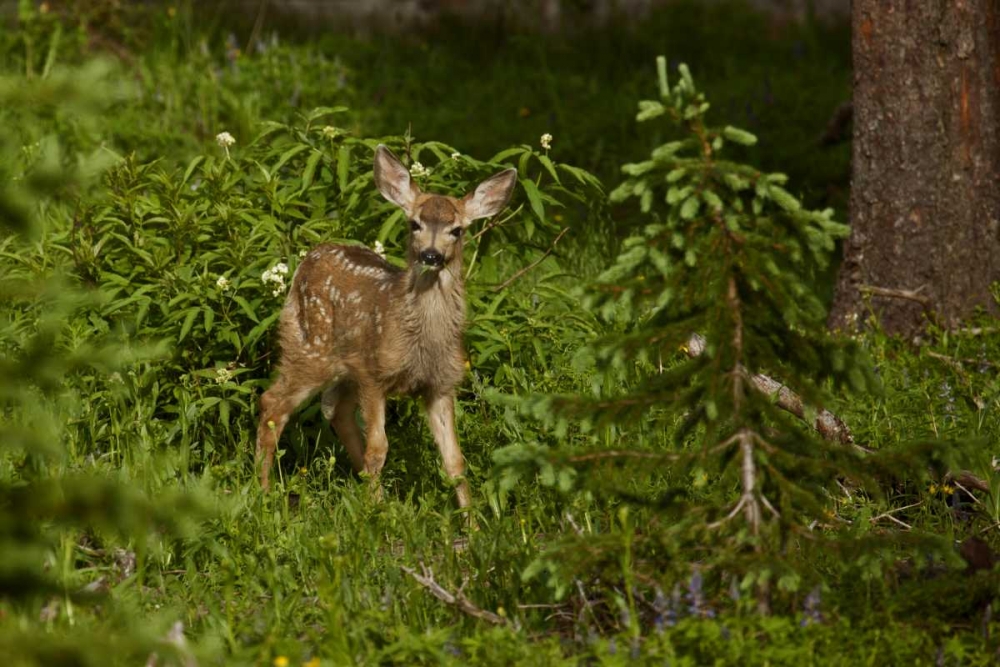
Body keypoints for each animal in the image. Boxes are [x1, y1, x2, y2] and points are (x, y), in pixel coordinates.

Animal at [255, 144, 517, 509]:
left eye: (457, 230)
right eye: (414, 223)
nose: (431, 255)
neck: (421, 341)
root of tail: (309, 258)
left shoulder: (440, 384)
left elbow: (455, 460)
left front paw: (472, 518)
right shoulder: (374, 373)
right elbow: (379, 449)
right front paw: (375, 515)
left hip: (343, 366)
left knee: (334, 409)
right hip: (309, 346)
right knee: (272, 404)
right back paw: (263, 492)